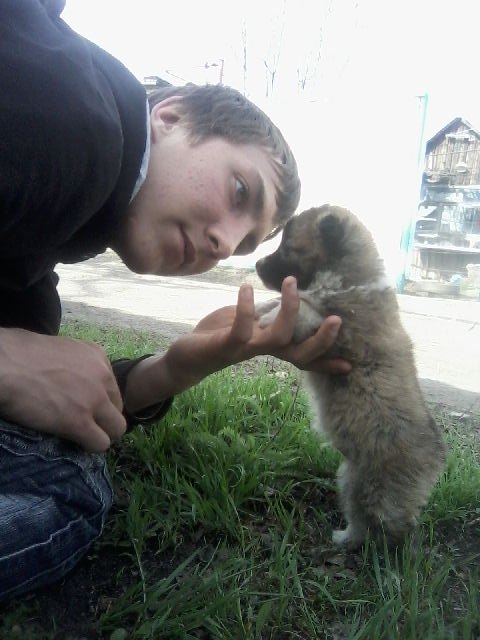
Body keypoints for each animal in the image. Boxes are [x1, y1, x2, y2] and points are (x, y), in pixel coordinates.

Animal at [255, 204, 446, 549]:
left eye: (288, 247)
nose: (257, 264)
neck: (347, 279)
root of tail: (437, 458)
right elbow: (289, 301)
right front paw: (262, 308)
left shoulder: (340, 330)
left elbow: (303, 309)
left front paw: (269, 317)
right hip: (351, 478)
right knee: (360, 517)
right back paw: (346, 539)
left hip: (381, 489)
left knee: (392, 524)